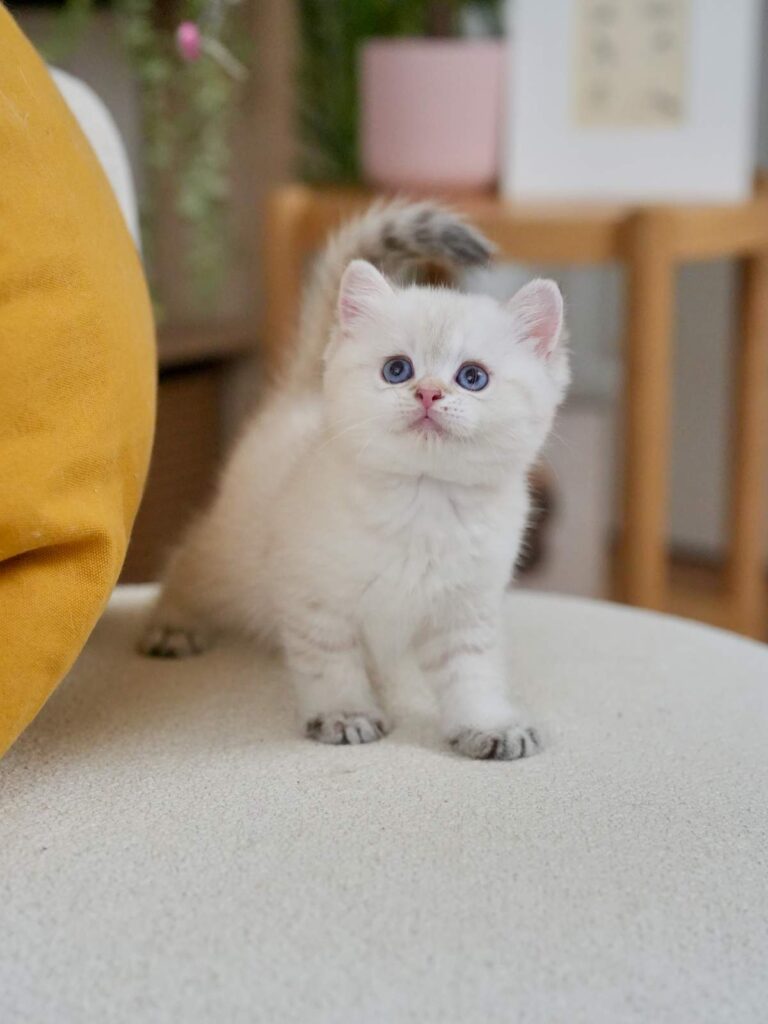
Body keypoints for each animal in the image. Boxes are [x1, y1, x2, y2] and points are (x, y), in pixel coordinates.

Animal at [139, 201, 570, 760]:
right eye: (397, 369)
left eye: (472, 377)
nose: (428, 393)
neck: (422, 500)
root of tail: (301, 394)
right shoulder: (314, 597)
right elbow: (330, 663)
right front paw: (345, 715)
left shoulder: (467, 609)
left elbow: (473, 674)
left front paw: (489, 726)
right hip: (230, 557)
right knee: (187, 566)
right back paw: (172, 626)